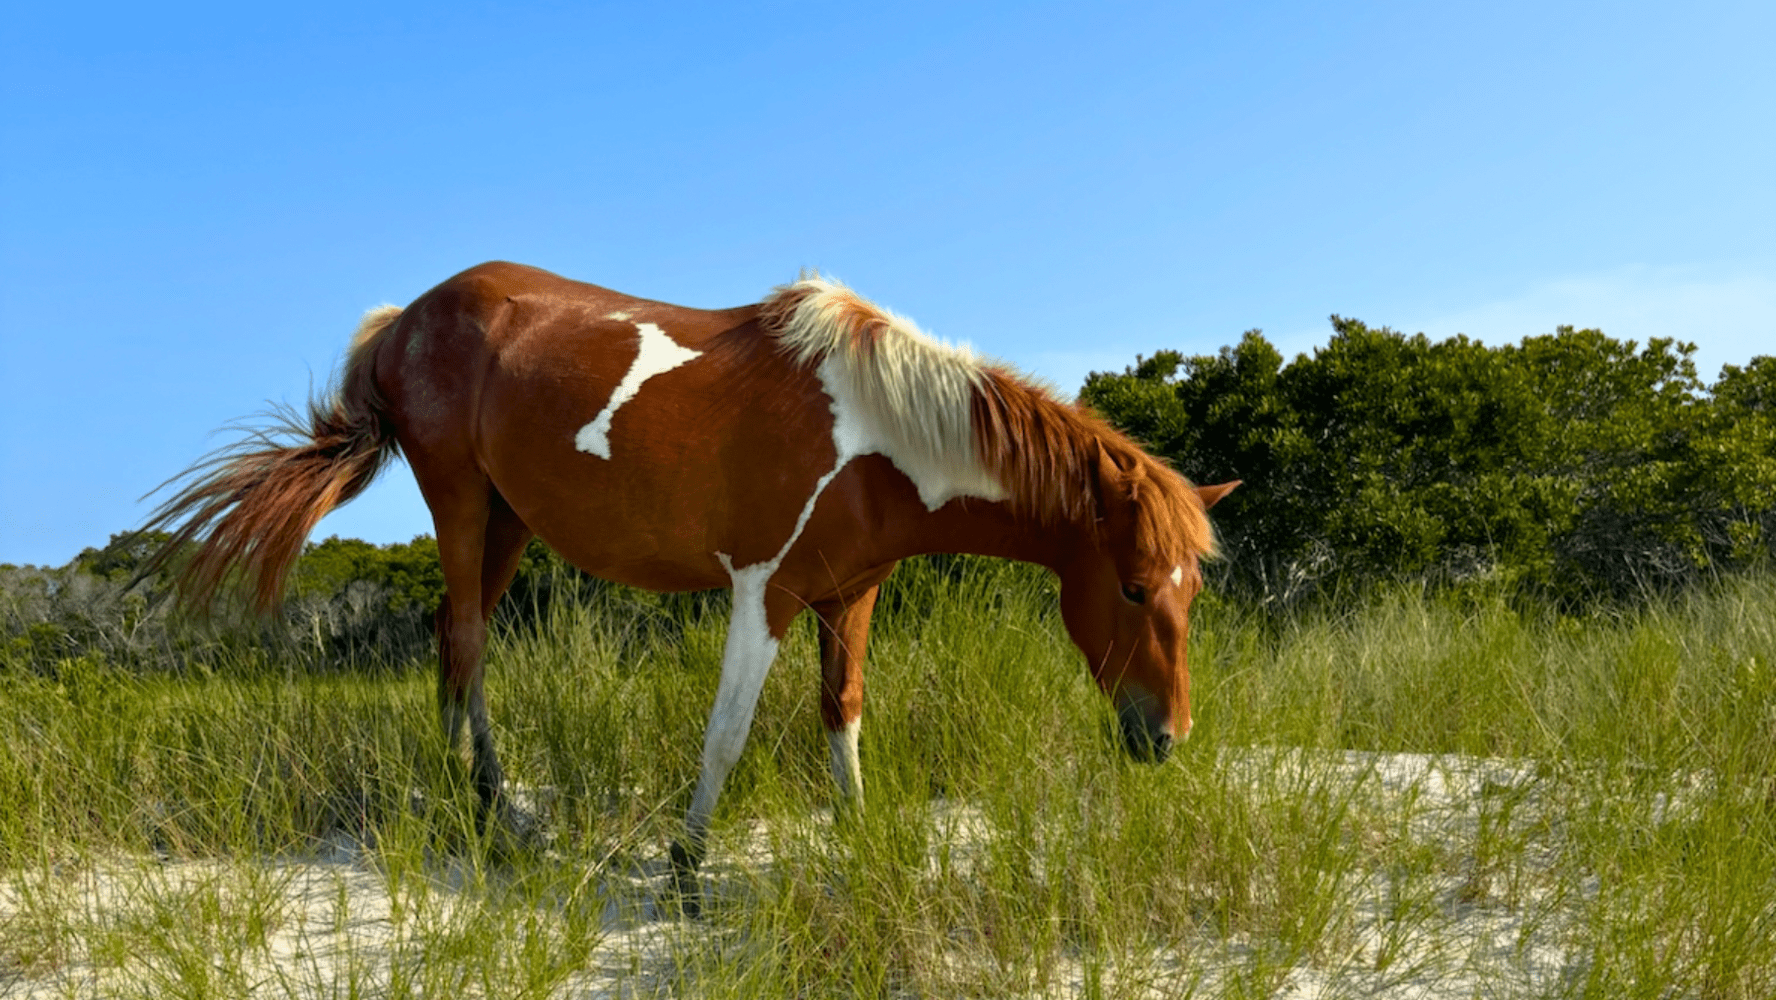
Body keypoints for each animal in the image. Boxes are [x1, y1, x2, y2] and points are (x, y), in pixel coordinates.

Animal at [137, 261, 1237, 908]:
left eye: (1191, 592)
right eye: (1135, 587)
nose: (1168, 737)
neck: (878, 434)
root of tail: (403, 320)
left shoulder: (850, 597)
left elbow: (843, 716)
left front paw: (858, 839)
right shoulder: (763, 595)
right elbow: (728, 734)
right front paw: (684, 871)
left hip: (506, 522)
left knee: (459, 643)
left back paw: (488, 807)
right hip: (460, 502)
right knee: (466, 645)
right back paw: (487, 814)